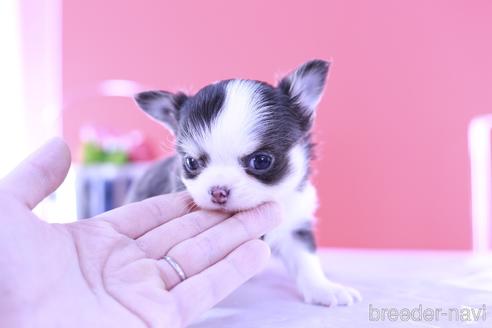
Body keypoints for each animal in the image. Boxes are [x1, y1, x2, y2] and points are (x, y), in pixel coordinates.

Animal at [128, 58, 362, 304]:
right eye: (191, 162)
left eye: (261, 161)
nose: (218, 191)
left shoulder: (295, 225)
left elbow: (307, 261)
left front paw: (324, 289)